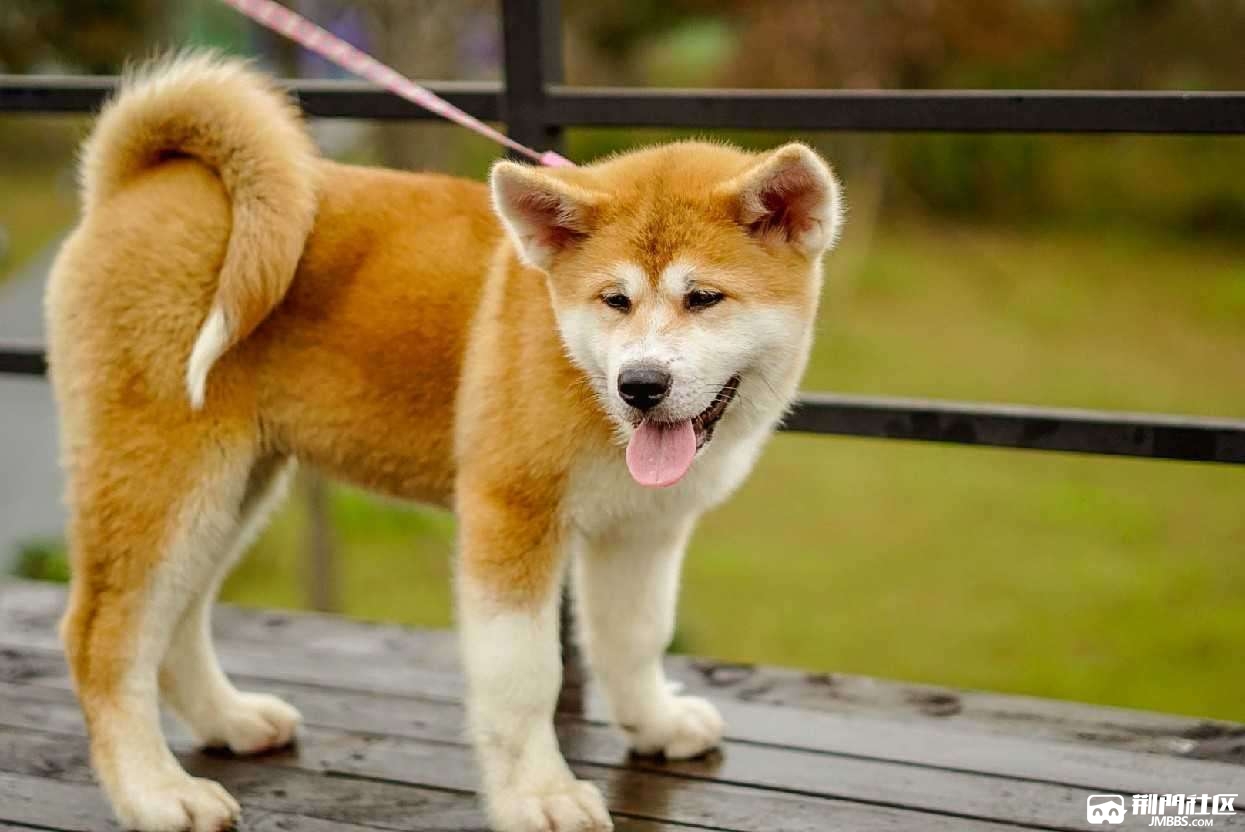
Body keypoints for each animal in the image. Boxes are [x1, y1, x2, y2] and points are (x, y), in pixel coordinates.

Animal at [48, 55, 846, 827]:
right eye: (614, 300)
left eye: (703, 298)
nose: (640, 386)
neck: (581, 378)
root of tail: (139, 185)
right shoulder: (509, 516)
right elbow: (525, 674)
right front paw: (537, 795)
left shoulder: (643, 528)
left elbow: (634, 637)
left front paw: (652, 724)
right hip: (165, 478)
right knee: (102, 637)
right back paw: (154, 792)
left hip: (231, 486)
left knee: (177, 620)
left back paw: (228, 720)